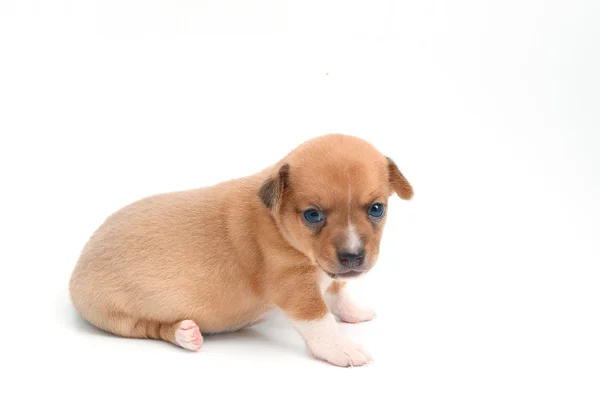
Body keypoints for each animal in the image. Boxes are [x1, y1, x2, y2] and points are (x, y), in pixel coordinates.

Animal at [69, 134, 412, 366]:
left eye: (377, 209)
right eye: (312, 215)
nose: (353, 257)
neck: (276, 220)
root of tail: (80, 263)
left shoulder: (328, 272)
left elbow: (338, 290)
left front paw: (354, 312)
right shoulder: (294, 287)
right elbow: (319, 319)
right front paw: (341, 348)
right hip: (117, 317)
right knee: (149, 328)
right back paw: (184, 334)